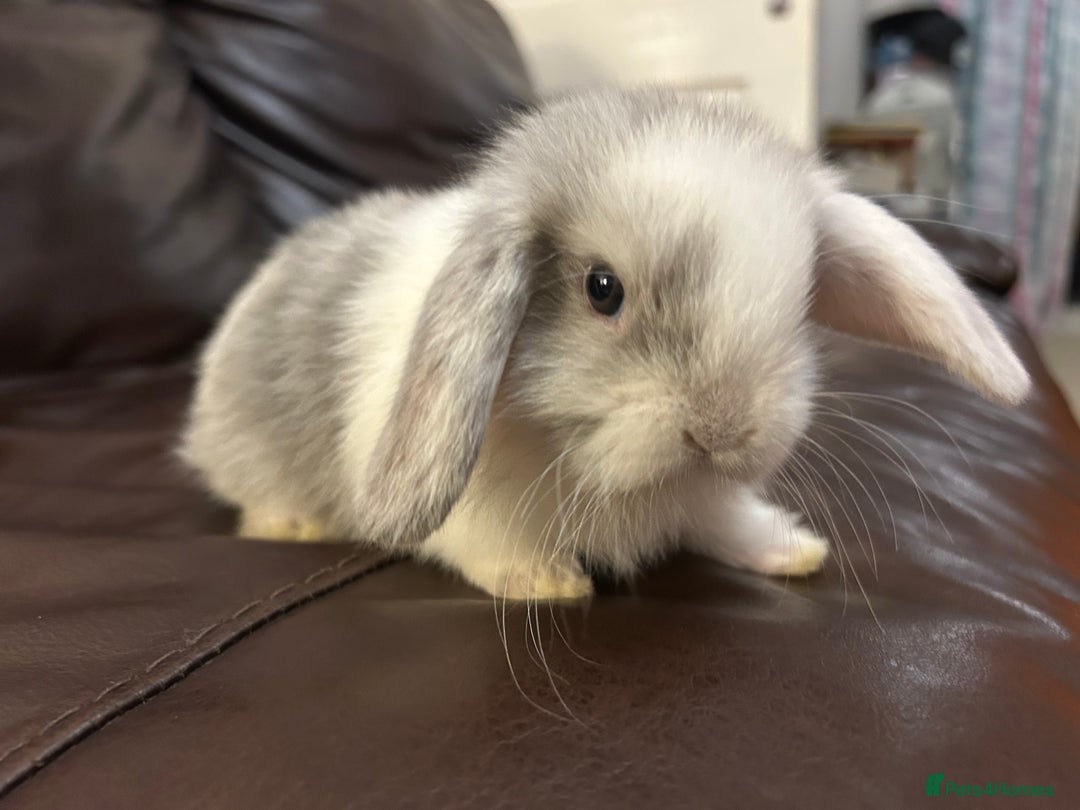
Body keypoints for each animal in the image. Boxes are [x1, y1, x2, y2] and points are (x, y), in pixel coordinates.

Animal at [181, 87, 1030, 600]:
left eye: (800, 298)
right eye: (602, 289)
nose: (724, 430)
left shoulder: (703, 497)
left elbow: (726, 522)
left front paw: (793, 551)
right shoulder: (473, 514)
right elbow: (485, 544)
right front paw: (550, 583)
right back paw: (290, 524)